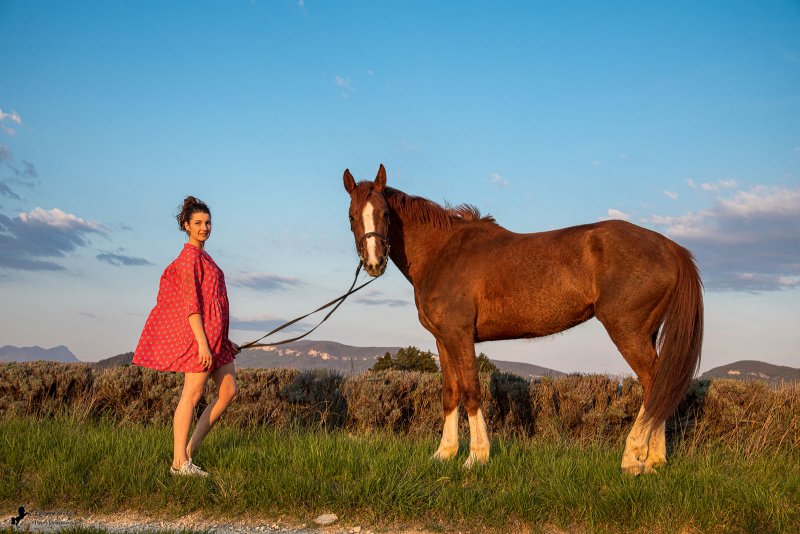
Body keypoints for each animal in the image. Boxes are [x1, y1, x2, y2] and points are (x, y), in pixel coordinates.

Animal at [343, 164, 703, 475]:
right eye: (351, 216)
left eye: (385, 214)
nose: (374, 263)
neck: (442, 252)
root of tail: (669, 247)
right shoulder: (443, 339)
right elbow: (450, 393)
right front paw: (444, 454)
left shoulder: (460, 336)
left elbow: (471, 391)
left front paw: (476, 457)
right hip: (646, 332)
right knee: (658, 386)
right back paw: (654, 460)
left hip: (627, 331)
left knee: (656, 383)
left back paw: (633, 457)